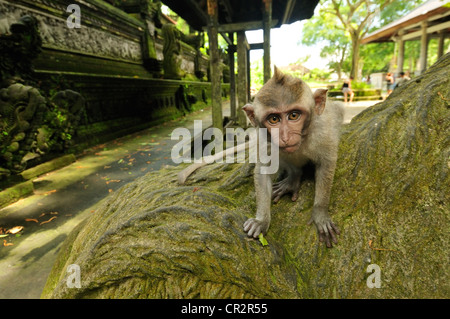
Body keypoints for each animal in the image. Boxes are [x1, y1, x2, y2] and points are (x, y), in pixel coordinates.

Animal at [178, 67, 342, 248]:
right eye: (274, 119)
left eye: (293, 115)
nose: (285, 136)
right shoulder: (264, 138)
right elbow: (264, 171)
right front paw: (262, 220)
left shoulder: (323, 132)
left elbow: (326, 164)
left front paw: (320, 214)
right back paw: (293, 178)